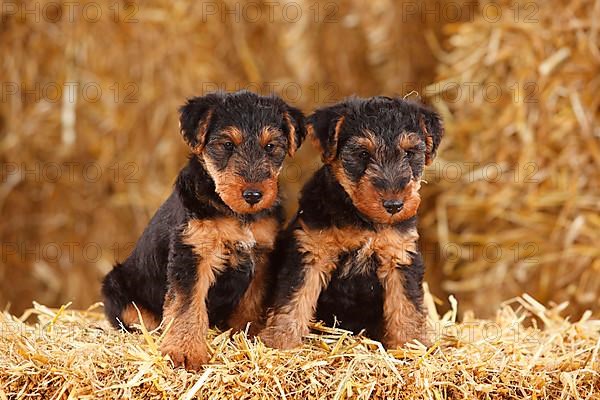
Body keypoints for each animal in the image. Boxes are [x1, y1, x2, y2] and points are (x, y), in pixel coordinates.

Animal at [102, 90, 304, 368]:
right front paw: (184, 352)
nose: (253, 195)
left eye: (271, 147)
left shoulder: (262, 256)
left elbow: (252, 302)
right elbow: (187, 306)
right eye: (227, 144)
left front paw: (247, 338)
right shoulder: (193, 252)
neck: (235, 213)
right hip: (117, 287)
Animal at [260, 96, 442, 350]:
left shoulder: (399, 256)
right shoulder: (312, 253)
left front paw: (410, 345)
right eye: (363, 154)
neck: (363, 220)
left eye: (409, 153)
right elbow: (294, 300)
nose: (394, 205)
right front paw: (281, 342)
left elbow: (406, 307)